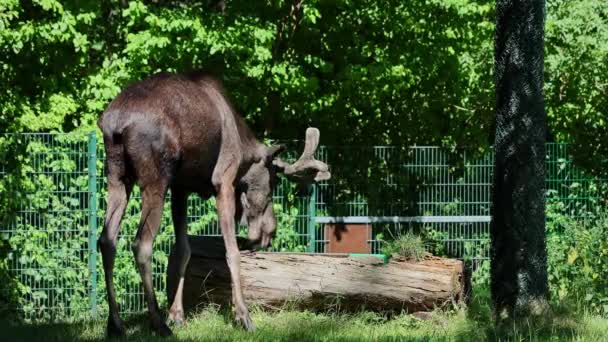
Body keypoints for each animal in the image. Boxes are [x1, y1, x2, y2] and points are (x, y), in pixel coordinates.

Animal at [97, 72, 330, 336]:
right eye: (272, 183)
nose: (270, 232)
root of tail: (115, 123)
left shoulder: (180, 188)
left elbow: (184, 251)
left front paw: (178, 314)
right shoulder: (224, 181)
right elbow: (232, 252)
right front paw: (243, 316)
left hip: (116, 176)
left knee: (106, 240)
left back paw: (116, 323)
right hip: (155, 179)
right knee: (141, 244)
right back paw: (158, 323)